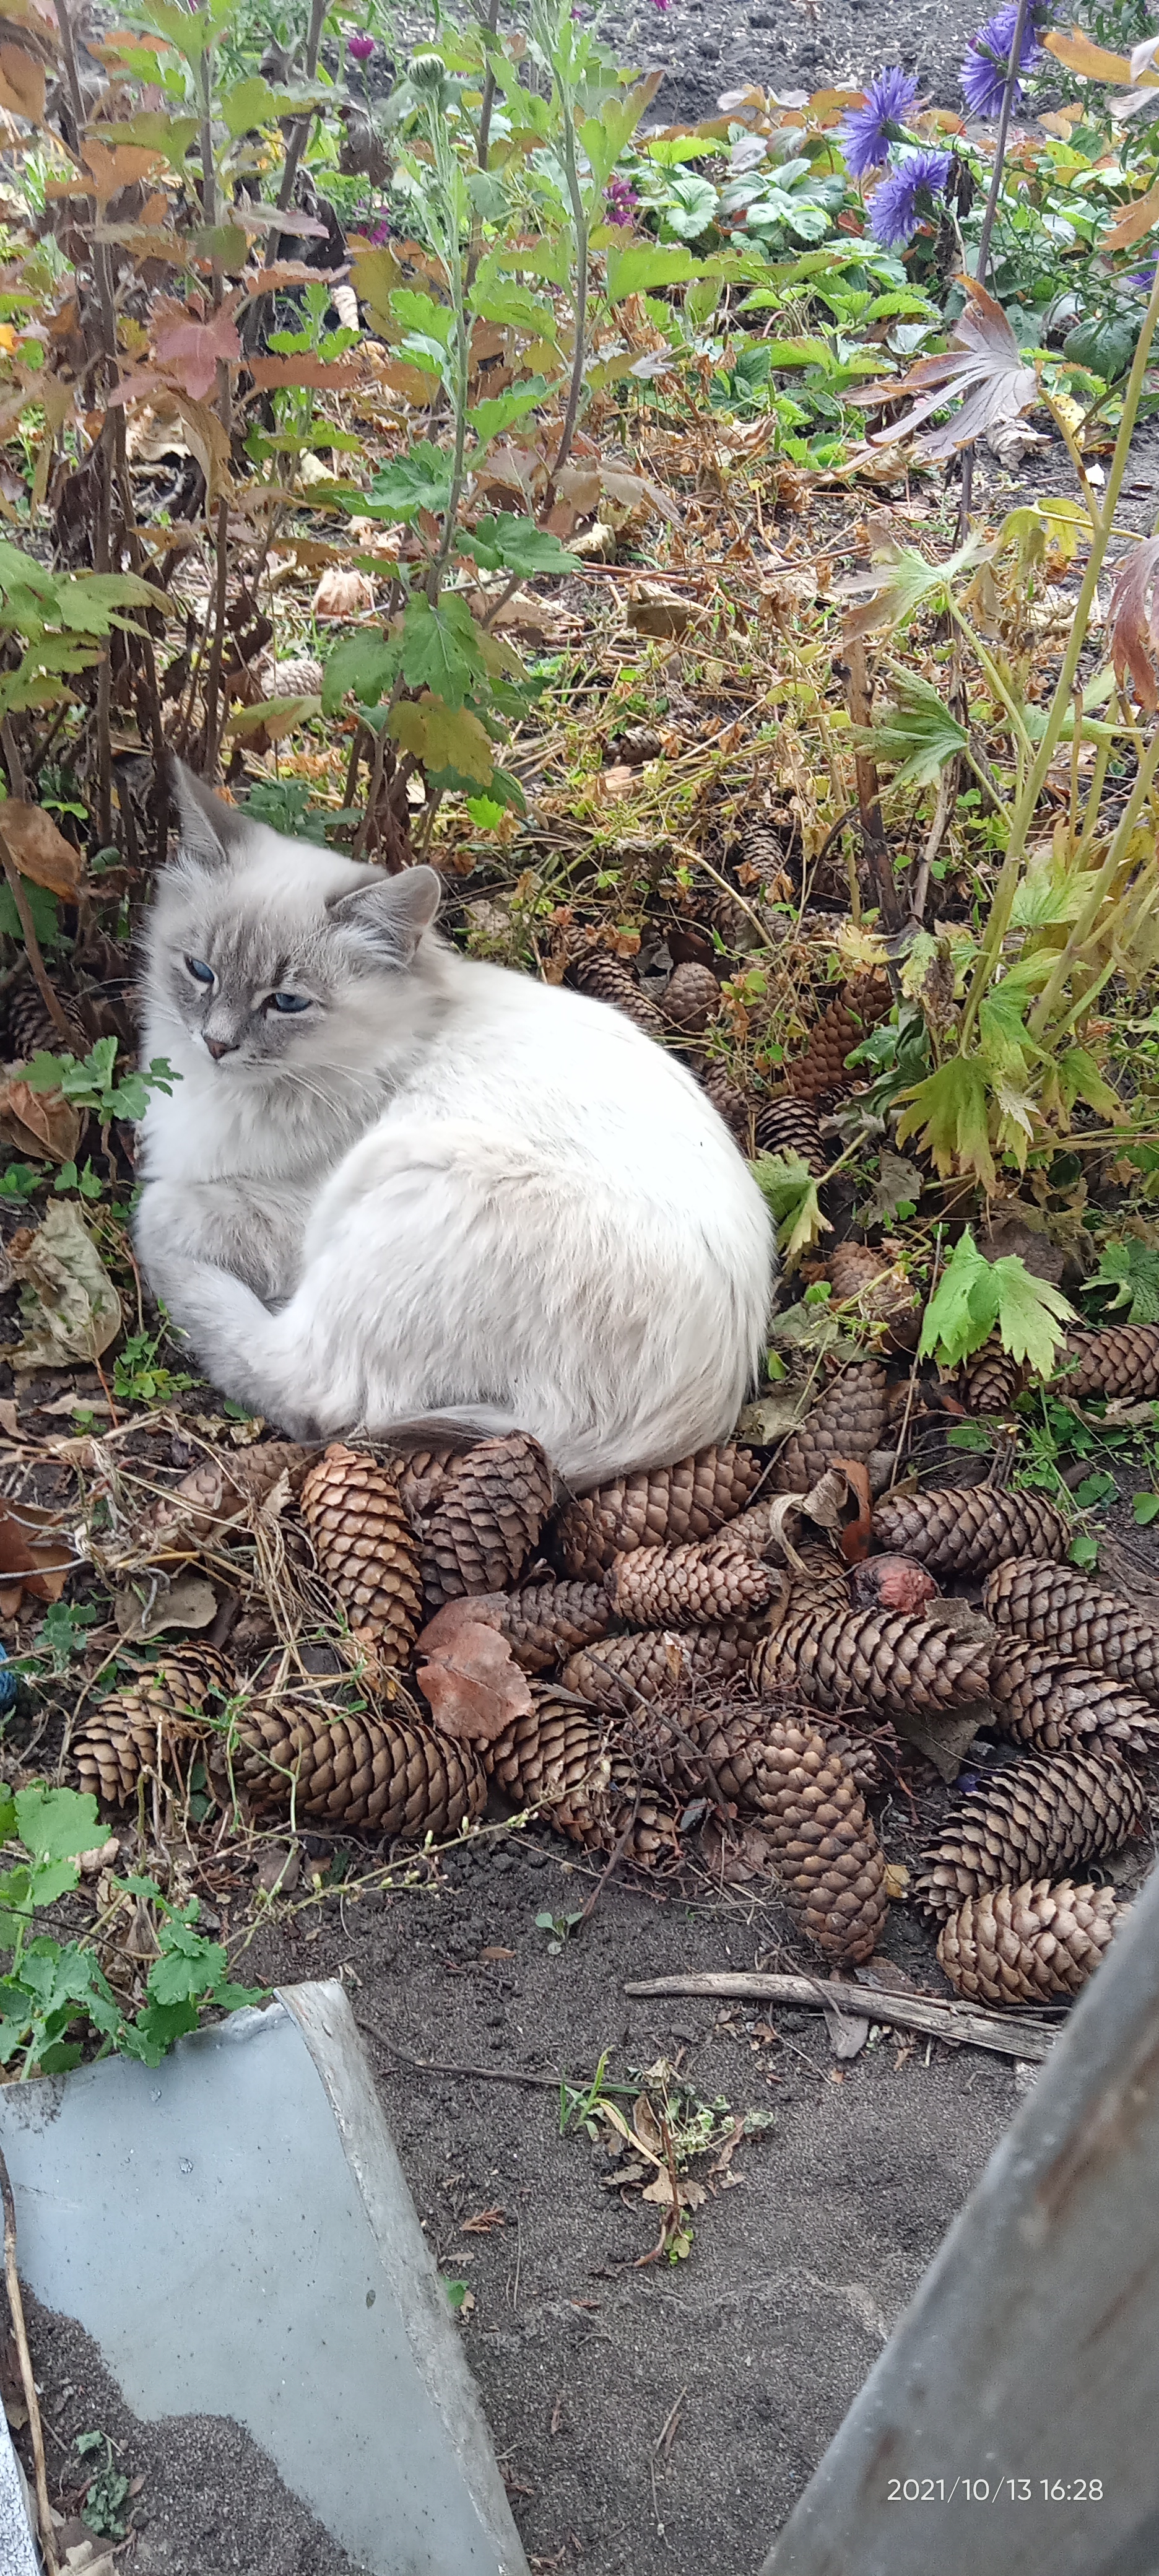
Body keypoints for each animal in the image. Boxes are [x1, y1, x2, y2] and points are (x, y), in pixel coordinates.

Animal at [131, 762, 773, 1484]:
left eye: (287, 1003)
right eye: (200, 971)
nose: (216, 1044)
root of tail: (693, 1416)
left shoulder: (281, 1215)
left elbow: (163, 1203)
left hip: (396, 1185)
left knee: (305, 1390)